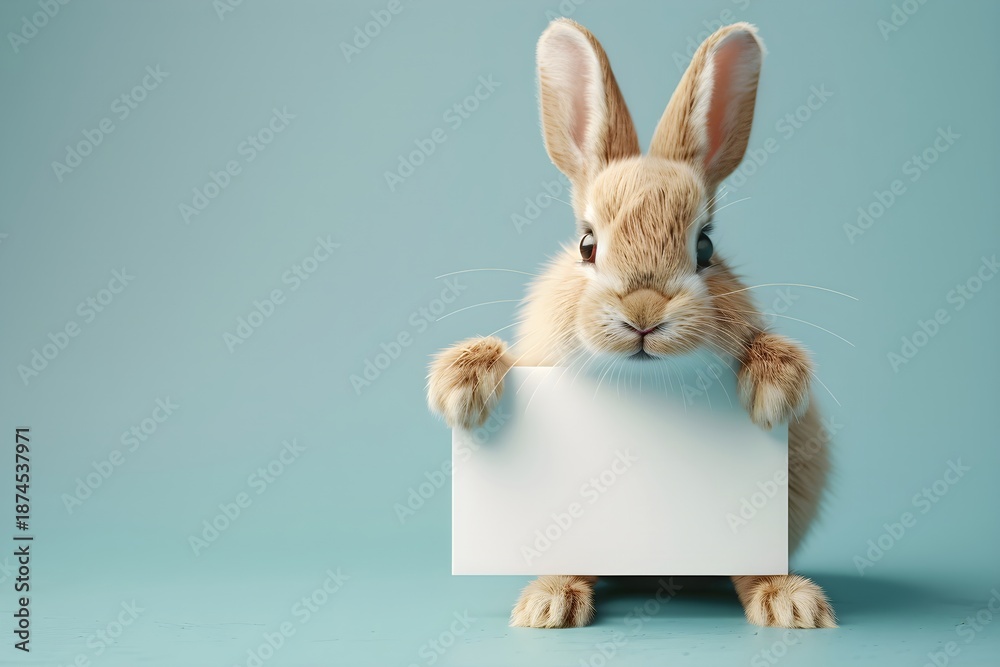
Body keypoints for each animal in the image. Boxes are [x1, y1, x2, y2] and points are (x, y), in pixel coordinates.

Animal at [427, 19, 834, 630]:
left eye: (705, 247)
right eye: (586, 244)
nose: (643, 314)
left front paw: (773, 388)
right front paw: (460, 387)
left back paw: (791, 603)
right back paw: (550, 603)